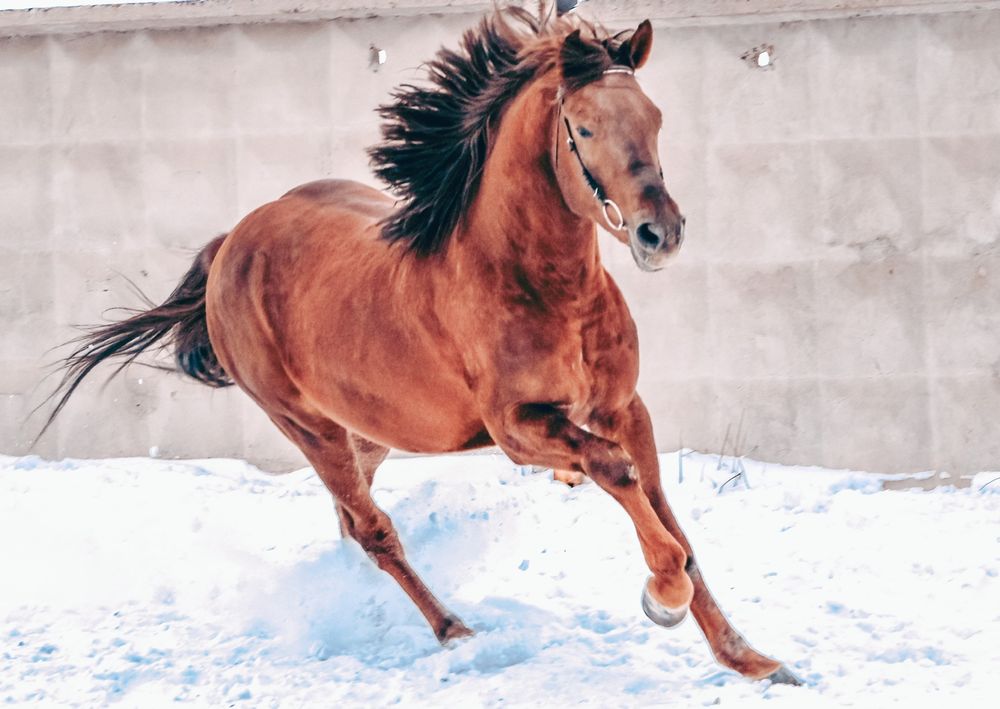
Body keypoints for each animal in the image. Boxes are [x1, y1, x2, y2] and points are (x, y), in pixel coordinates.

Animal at [45, 8, 796, 684]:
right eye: (584, 127)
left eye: (655, 118)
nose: (659, 233)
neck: (543, 287)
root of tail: (232, 243)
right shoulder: (519, 429)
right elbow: (618, 475)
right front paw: (662, 596)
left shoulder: (623, 407)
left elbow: (669, 515)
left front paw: (751, 659)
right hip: (306, 423)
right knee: (373, 528)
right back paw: (455, 631)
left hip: (369, 428)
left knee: (351, 519)